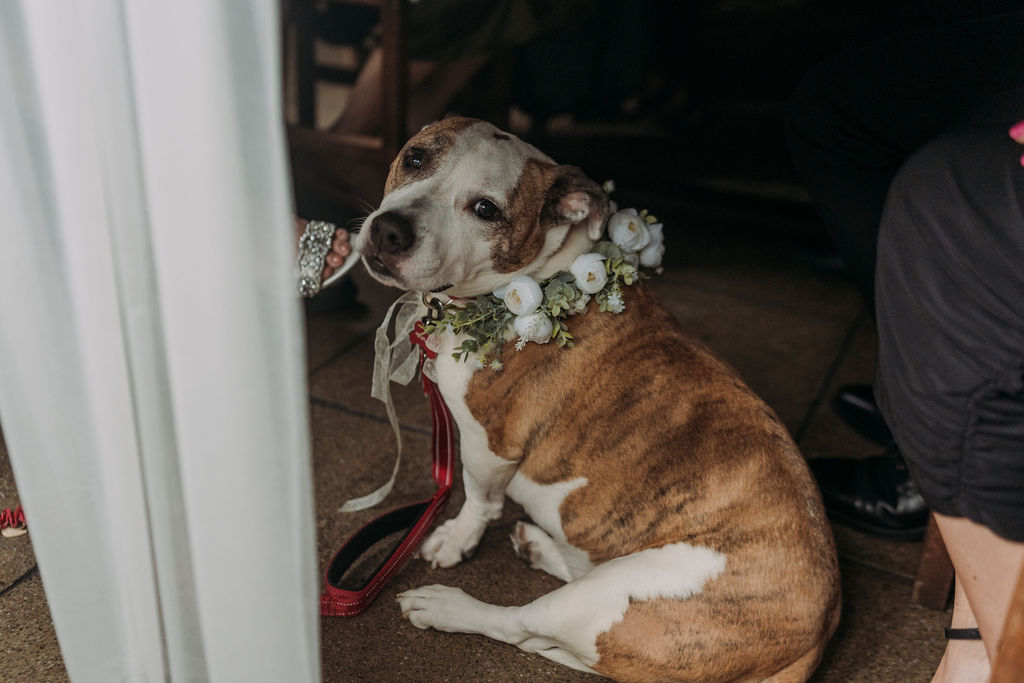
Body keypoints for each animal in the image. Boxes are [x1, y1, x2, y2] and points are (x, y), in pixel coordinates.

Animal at [352, 118, 839, 683]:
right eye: (414, 158)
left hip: (613, 595)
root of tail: (817, 638)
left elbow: (478, 499)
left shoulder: (487, 442)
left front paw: (456, 539)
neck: (540, 273)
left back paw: (448, 607)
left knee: (522, 626)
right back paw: (539, 546)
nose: (390, 231)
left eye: (486, 209)